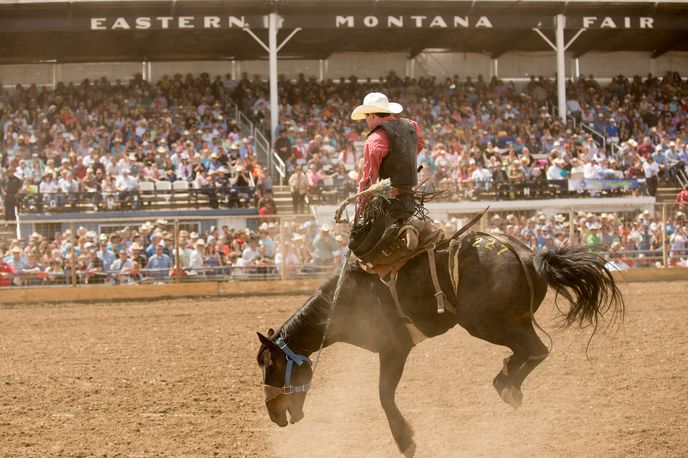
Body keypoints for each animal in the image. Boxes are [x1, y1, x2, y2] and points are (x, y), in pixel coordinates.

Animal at [256, 231, 624, 457]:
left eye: (272, 365)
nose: (273, 415)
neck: (342, 302)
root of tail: (528, 255)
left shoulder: (394, 349)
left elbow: (384, 395)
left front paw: (405, 441)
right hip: (509, 321)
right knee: (529, 351)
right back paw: (506, 379)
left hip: (487, 324)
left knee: (535, 350)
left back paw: (507, 386)